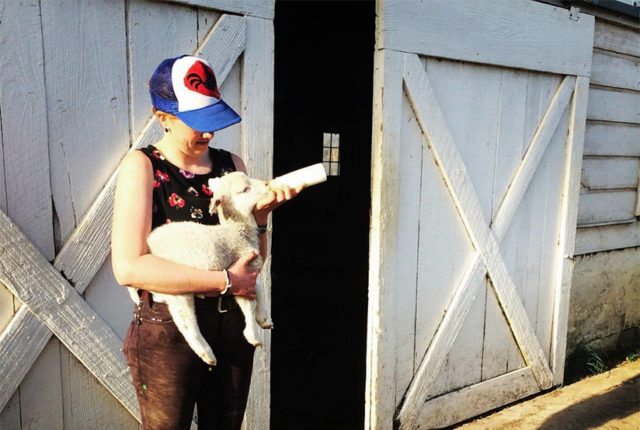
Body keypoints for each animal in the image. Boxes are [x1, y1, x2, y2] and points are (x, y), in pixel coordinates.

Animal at [127, 170, 272, 364]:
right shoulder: (241, 273)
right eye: (244, 190)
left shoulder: (251, 272)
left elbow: (259, 289)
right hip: (176, 286)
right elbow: (248, 306)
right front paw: (253, 335)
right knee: (186, 323)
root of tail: (150, 245)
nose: (267, 184)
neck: (237, 232)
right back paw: (207, 354)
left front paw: (264, 318)